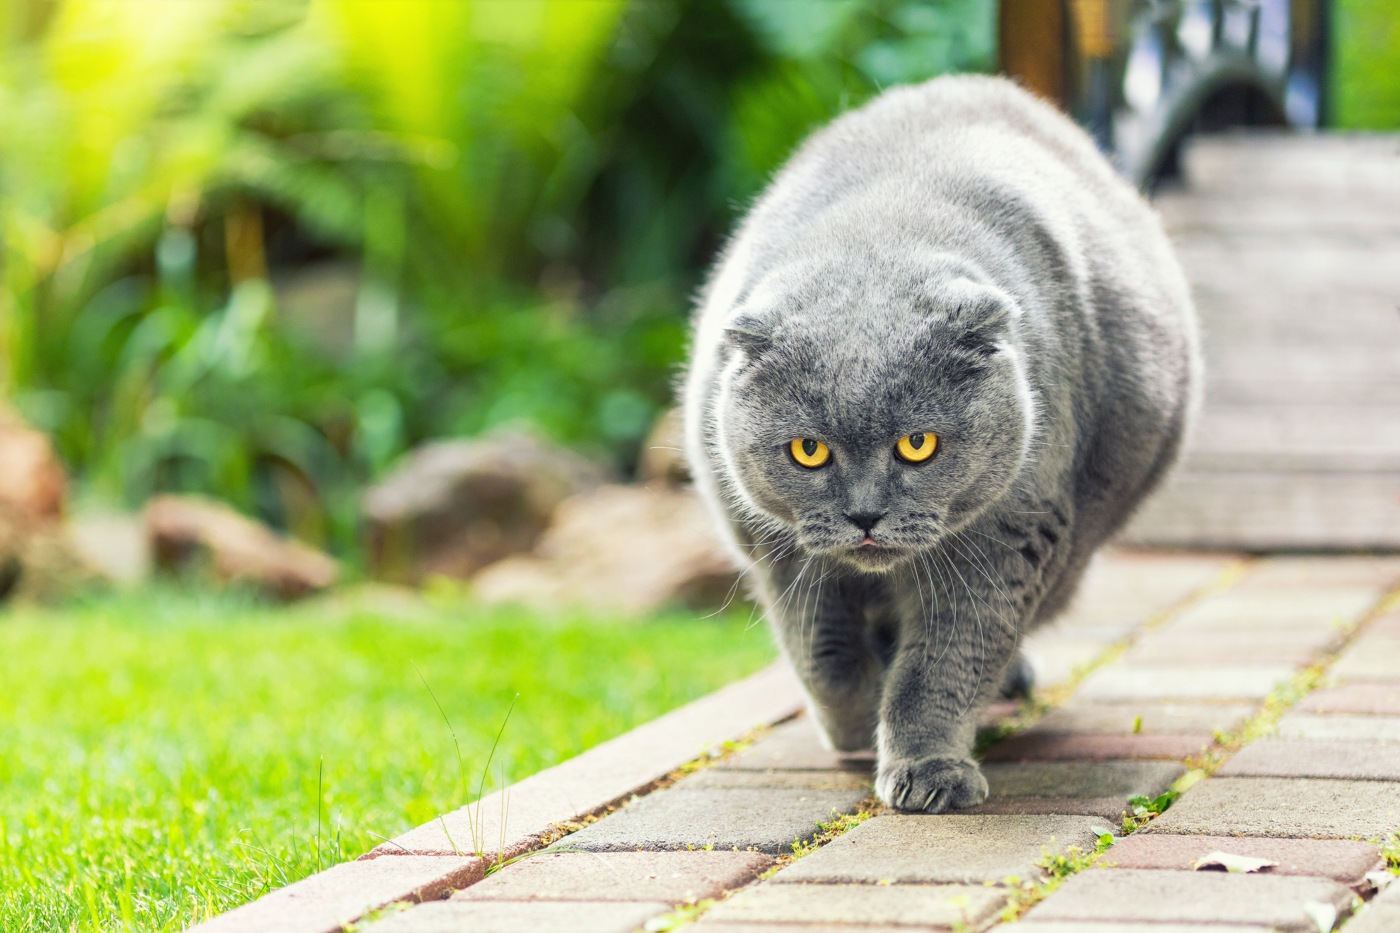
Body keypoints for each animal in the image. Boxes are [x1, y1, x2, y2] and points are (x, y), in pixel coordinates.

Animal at [683, 76, 1198, 812]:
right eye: (809, 450)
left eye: (918, 444)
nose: (865, 514)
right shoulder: (775, 549)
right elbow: (823, 656)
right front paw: (854, 727)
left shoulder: (1008, 539)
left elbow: (943, 666)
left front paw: (929, 770)